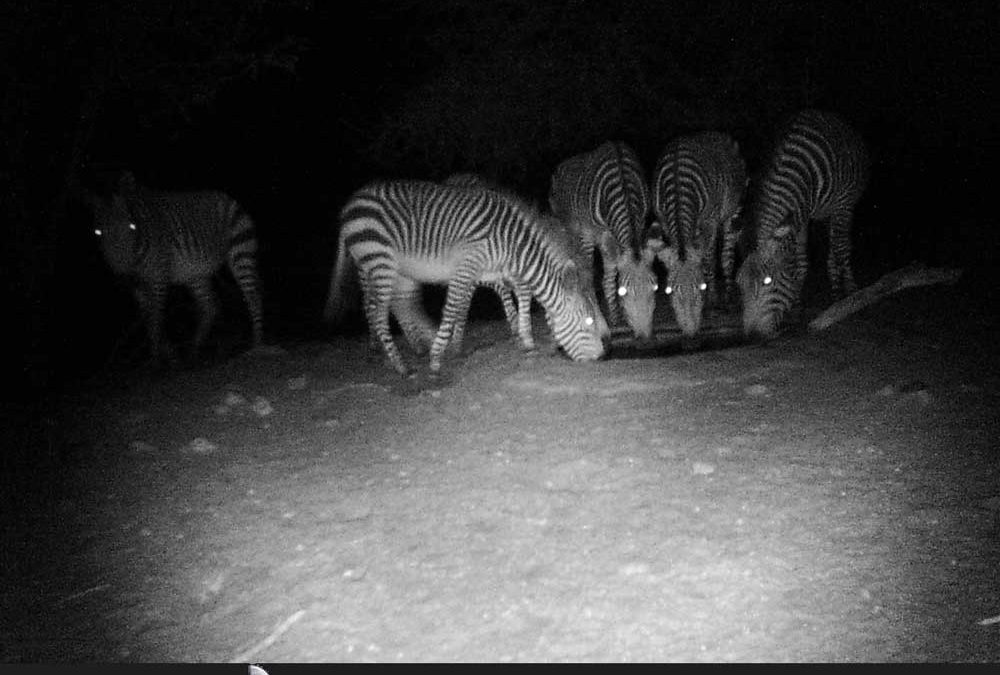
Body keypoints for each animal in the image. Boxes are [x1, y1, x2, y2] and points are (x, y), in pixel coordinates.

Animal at [87, 171, 263, 362]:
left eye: (132, 227)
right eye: (97, 233)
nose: (124, 275)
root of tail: (226, 196)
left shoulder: (159, 276)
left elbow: (156, 319)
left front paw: (156, 359)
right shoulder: (138, 287)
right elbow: (149, 319)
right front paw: (171, 355)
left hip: (241, 252)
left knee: (253, 297)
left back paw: (257, 344)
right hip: (194, 272)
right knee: (210, 306)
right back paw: (193, 352)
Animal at [323, 180, 606, 376]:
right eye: (589, 321)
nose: (601, 358)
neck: (511, 244)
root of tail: (351, 203)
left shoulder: (493, 270)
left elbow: (516, 294)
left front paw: (525, 338)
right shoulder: (467, 266)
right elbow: (451, 310)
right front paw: (437, 359)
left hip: (380, 267)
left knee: (389, 305)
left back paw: (399, 350)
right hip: (379, 260)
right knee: (378, 312)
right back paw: (401, 365)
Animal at [548, 141, 656, 339]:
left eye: (654, 288)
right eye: (625, 292)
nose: (645, 339)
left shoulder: (637, 225)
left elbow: (610, 274)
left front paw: (615, 317)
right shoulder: (589, 234)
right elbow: (590, 275)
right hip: (570, 228)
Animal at [645, 131, 747, 337]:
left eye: (700, 288)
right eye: (670, 291)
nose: (691, 333)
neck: (677, 186)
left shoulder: (710, 222)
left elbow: (708, 262)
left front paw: (710, 304)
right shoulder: (665, 222)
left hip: (732, 212)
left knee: (726, 256)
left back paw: (729, 300)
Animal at [736, 109, 870, 339]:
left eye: (768, 282)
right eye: (739, 284)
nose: (753, 336)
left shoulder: (842, 205)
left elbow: (841, 250)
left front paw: (849, 299)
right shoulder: (800, 216)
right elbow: (799, 262)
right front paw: (796, 308)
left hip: (845, 207)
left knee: (841, 247)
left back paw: (845, 292)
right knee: (832, 250)